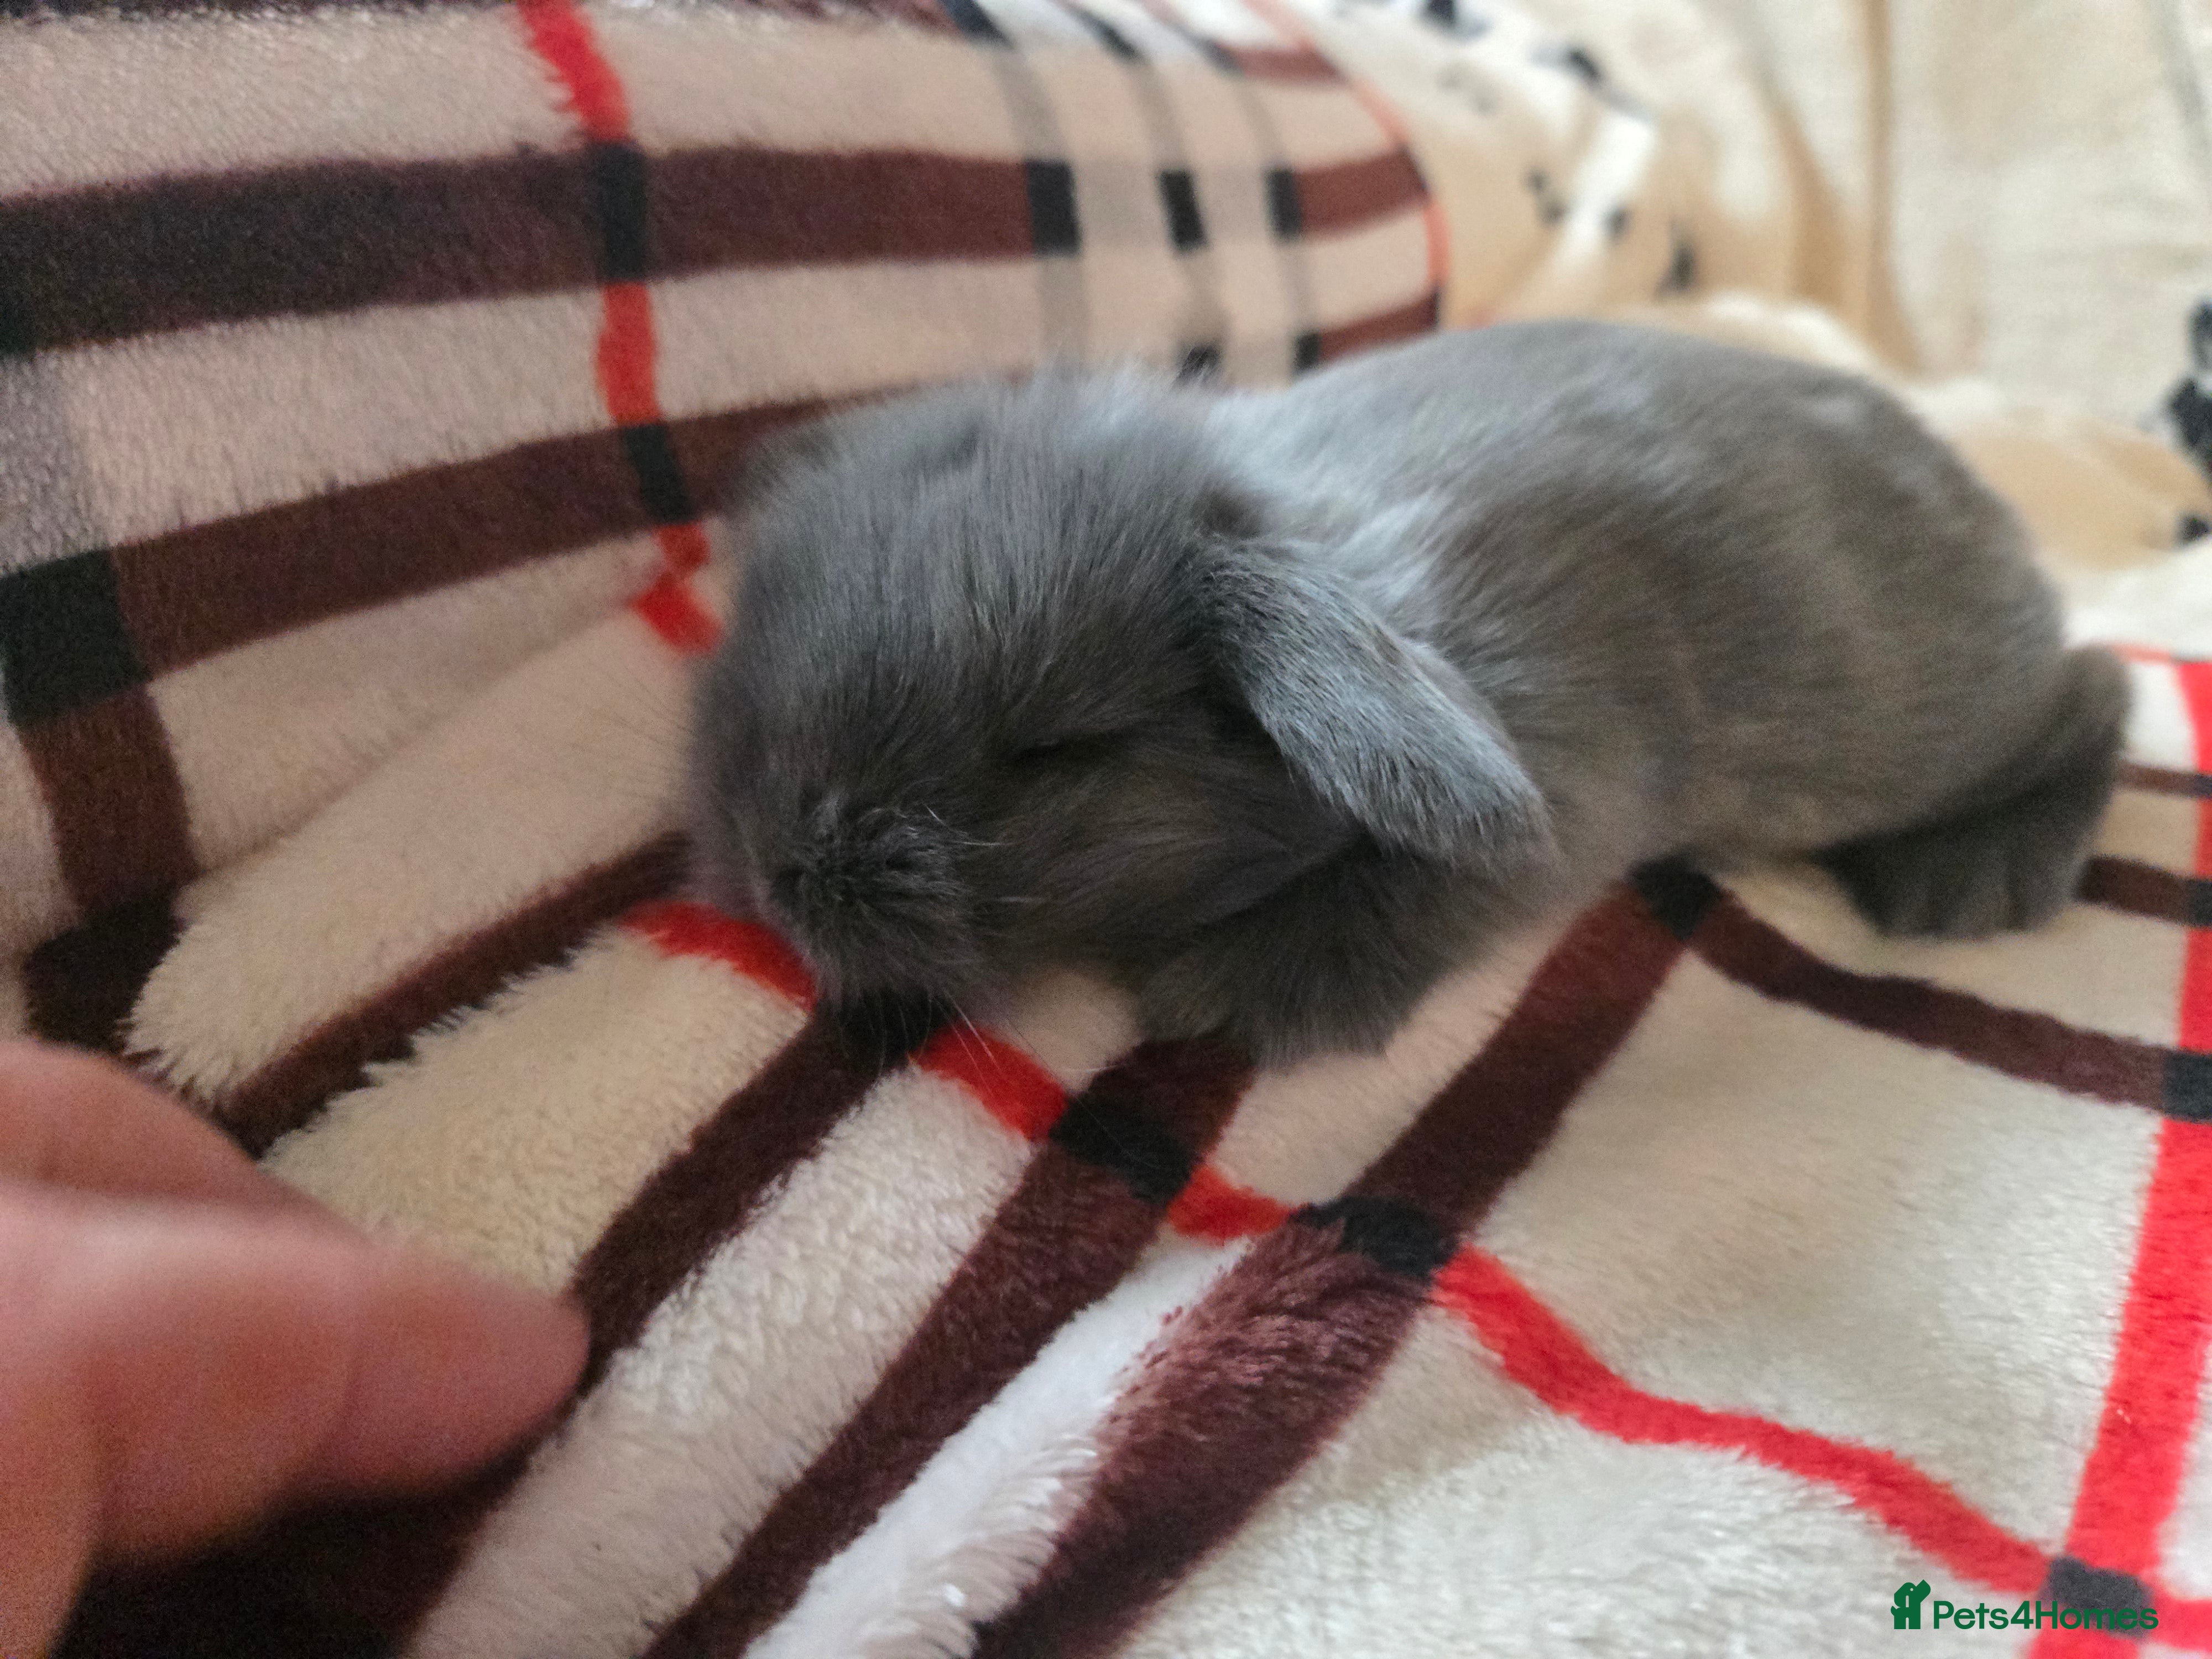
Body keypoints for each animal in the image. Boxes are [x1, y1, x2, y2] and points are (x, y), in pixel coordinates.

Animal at [687, 319, 2129, 1064]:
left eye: (1056, 749)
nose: (772, 872)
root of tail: (1980, 504)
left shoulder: (1562, 787)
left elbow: (1408, 889)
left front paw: (1220, 996)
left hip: (1926, 724)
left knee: (2100, 690)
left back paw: (1966, 881)